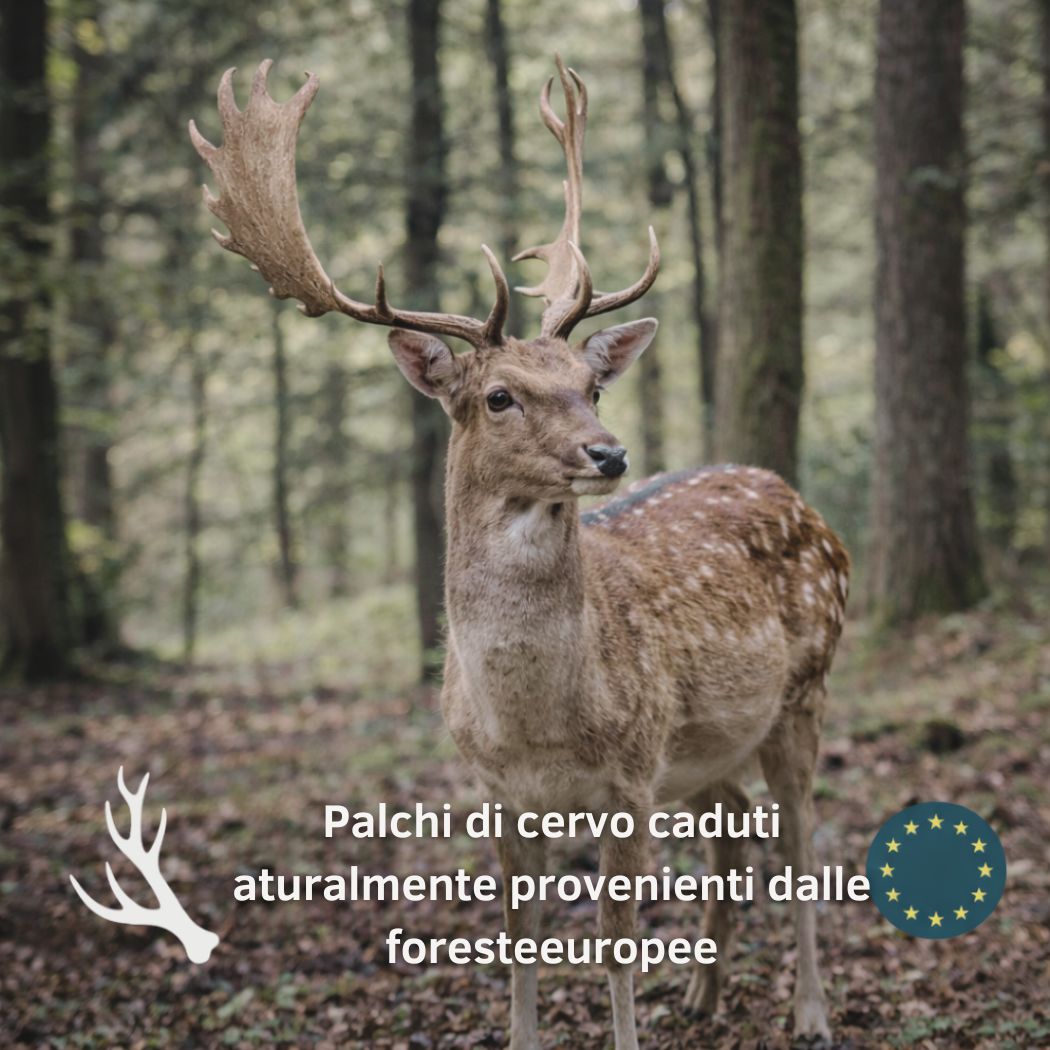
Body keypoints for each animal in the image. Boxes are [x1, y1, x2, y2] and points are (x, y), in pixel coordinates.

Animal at [190, 56, 849, 1049]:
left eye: (590, 384)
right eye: (500, 396)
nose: (609, 453)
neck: (539, 719)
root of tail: (803, 502)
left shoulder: (630, 774)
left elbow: (616, 941)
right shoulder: (499, 788)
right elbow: (516, 933)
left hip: (804, 690)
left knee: (802, 836)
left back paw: (808, 1012)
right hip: (705, 747)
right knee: (736, 820)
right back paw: (701, 994)